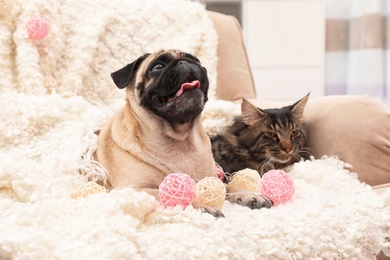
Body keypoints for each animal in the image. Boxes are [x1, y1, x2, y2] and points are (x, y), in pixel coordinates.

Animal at [94, 49, 272, 216]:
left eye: (197, 61)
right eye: (157, 67)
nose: (185, 62)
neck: (181, 139)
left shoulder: (210, 178)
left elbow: (229, 186)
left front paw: (249, 195)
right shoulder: (134, 189)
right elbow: (172, 195)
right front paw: (201, 207)